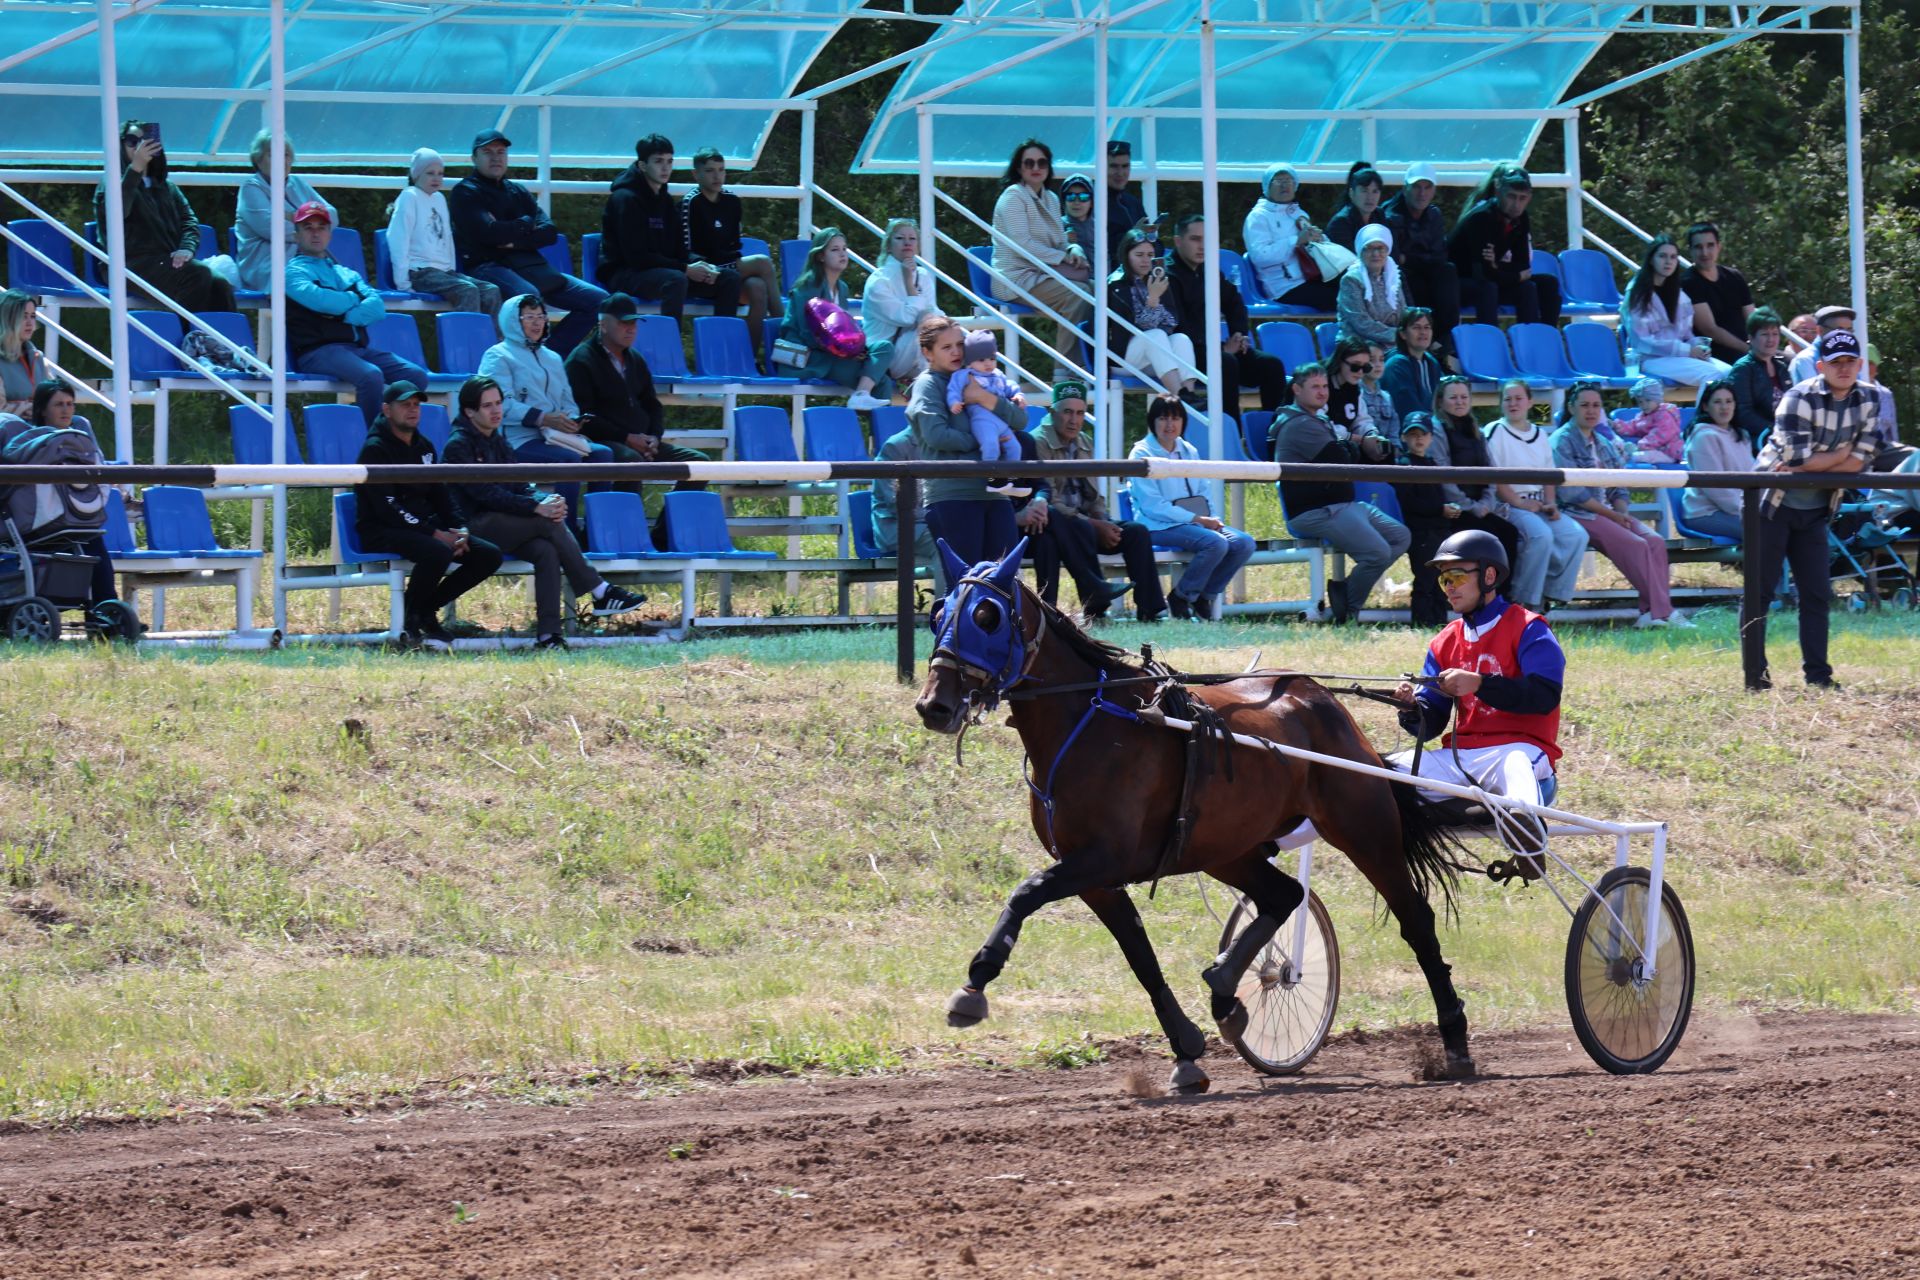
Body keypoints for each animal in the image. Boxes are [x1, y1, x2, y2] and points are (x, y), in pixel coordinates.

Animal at [913, 541, 1466, 1090]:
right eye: (938, 611)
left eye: (986, 615)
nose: (934, 706)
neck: (1090, 724)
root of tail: (1318, 696)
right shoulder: (1095, 876)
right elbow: (1140, 956)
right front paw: (1186, 1049)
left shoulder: (1102, 859)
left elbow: (1026, 892)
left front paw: (975, 983)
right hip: (1226, 848)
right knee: (1283, 895)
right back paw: (1225, 989)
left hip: (1363, 828)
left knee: (1414, 918)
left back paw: (1455, 1039)